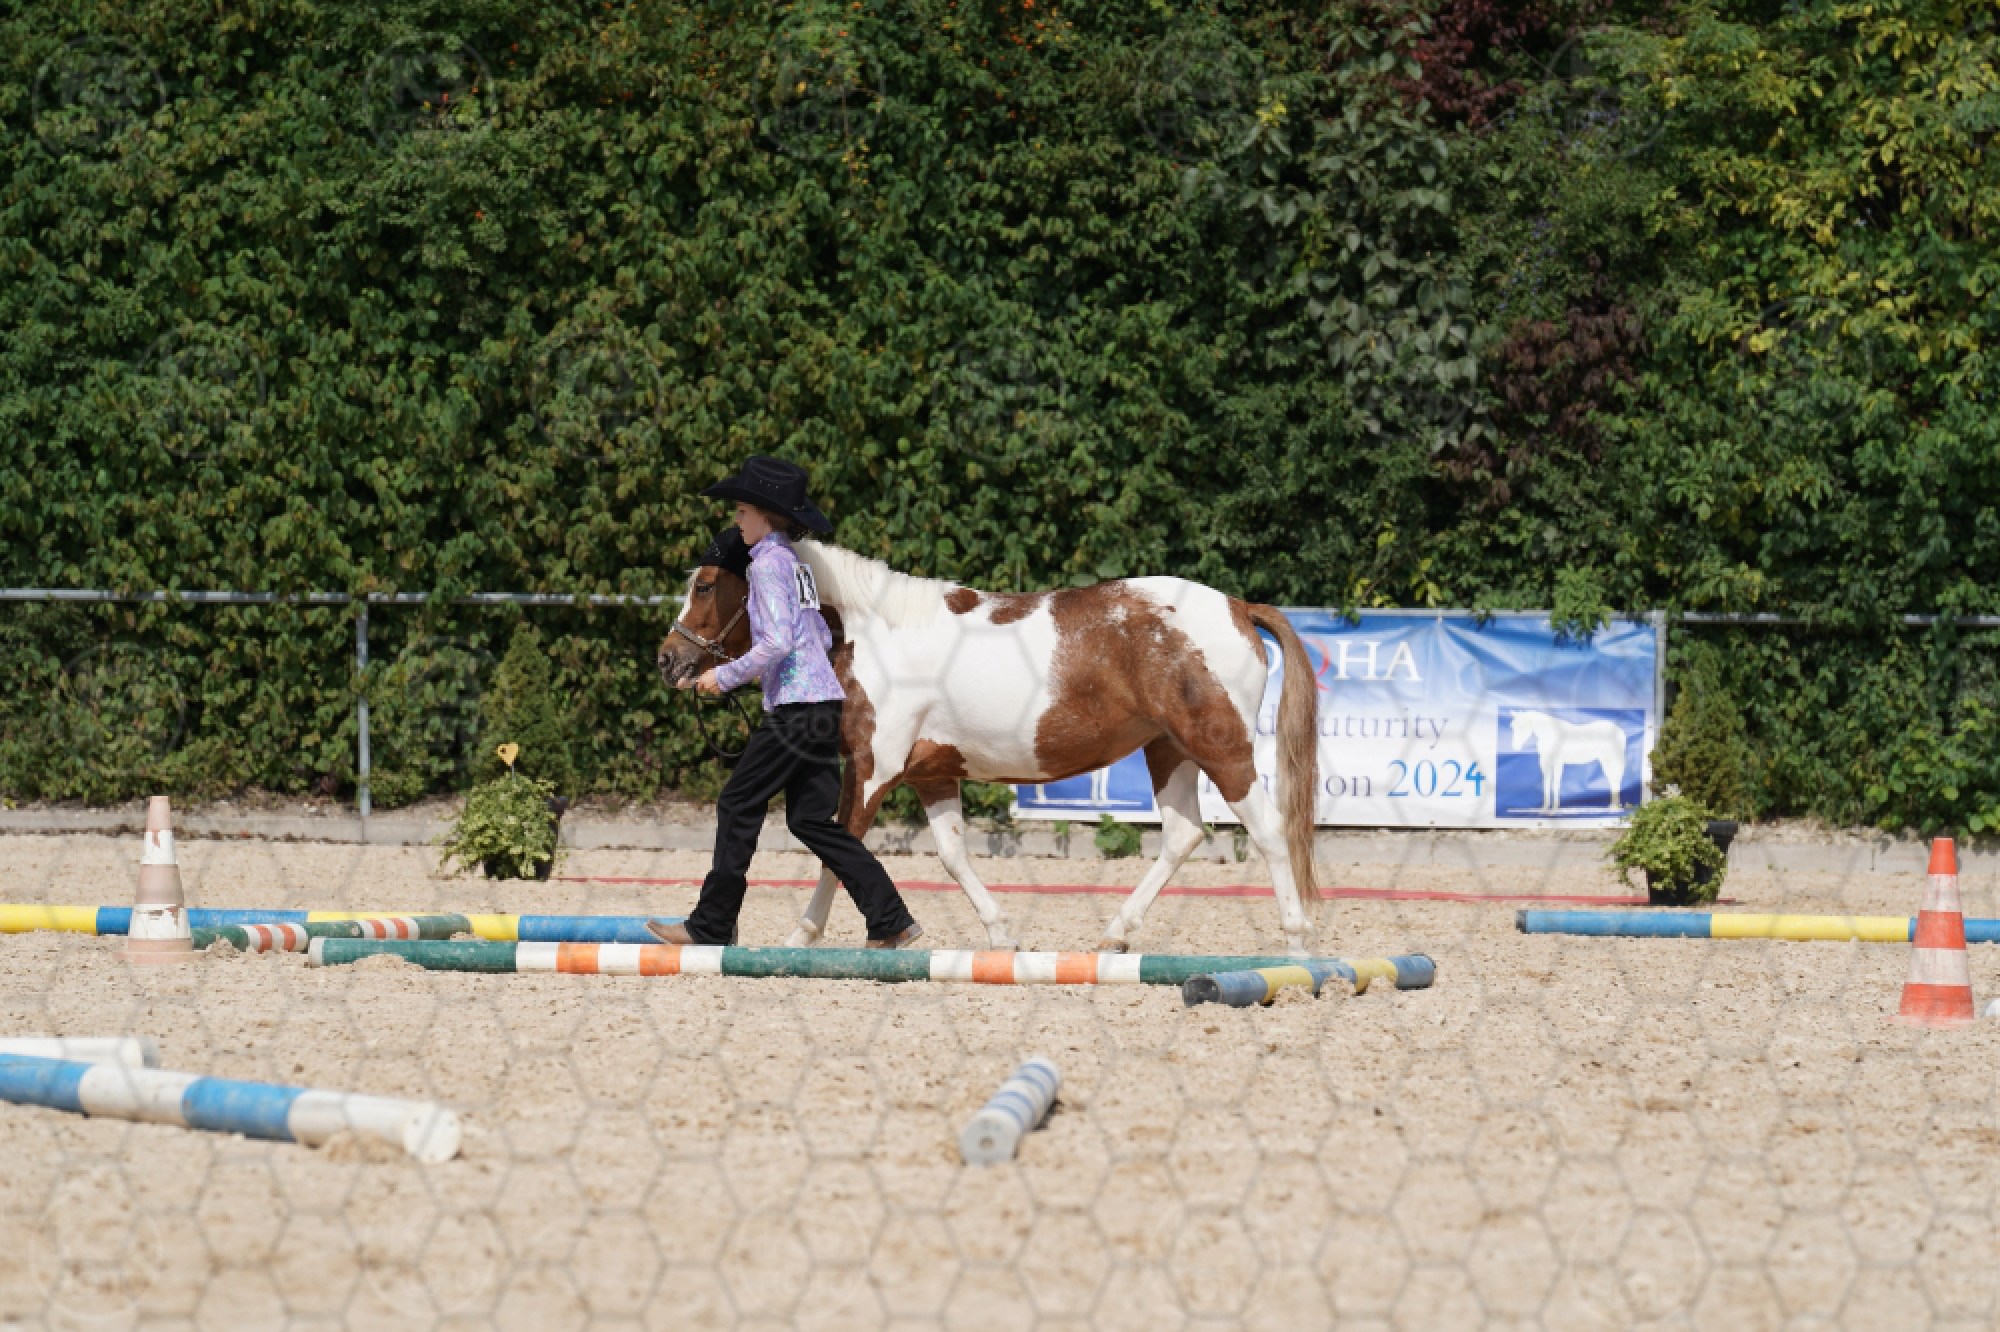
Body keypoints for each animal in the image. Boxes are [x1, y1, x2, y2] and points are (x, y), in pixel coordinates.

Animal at [659, 541, 1324, 955]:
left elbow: (838, 846)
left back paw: (1296, 937)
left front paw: (804, 935)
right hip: (1167, 751)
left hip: (1222, 749)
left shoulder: (875, 766)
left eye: (708, 586)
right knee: (1184, 834)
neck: (873, 630)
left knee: (1269, 832)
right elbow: (952, 857)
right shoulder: (931, 774)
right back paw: (1115, 933)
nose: (670, 659)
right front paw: (1000, 932)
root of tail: (1239, 607)